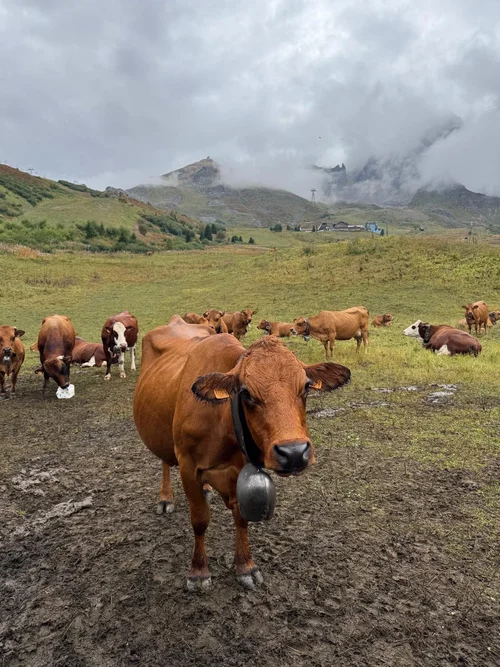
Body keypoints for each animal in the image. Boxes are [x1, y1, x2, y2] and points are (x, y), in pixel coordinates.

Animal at [133, 315, 351, 591]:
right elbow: (200, 519)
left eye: (306, 387)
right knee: (163, 461)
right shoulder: (187, 465)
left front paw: (246, 565)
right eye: (246, 393)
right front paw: (198, 571)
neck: (222, 421)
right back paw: (165, 498)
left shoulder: (239, 470)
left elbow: (241, 517)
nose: (293, 452)